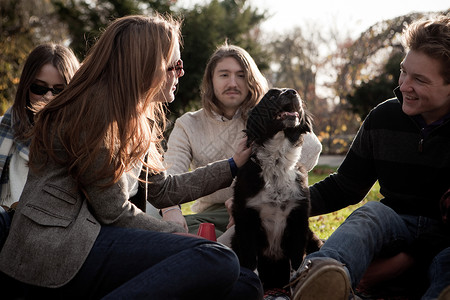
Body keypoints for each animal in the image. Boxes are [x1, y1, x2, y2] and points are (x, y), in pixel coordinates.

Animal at [232, 88, 320, 290]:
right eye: (271, 95)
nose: (292, 92)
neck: (277, 164)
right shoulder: (246, 220)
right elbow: (251, 262)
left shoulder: (299, 219)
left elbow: (297, 262)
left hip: (312, 236)